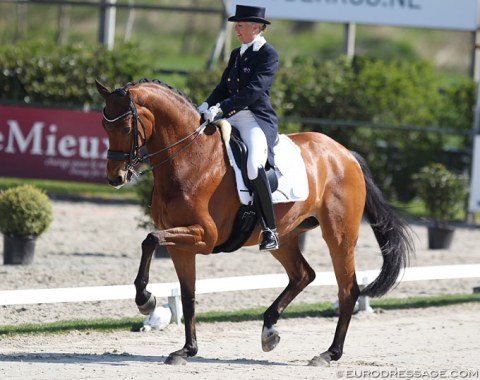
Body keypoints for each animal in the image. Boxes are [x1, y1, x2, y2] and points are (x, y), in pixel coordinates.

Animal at [94, 78, 412, 366]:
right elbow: (187, 294)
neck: (190, 159)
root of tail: (346, 154)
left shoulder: (203, 236)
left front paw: (145, 300)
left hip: (339, 234)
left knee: (347, 290)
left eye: (125, 128)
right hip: (283, 238)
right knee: (303, 275)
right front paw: (186, 350)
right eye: (104, 126)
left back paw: (328, 354)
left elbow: (149, 240)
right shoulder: (181, 244)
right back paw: (269, 330)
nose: (116, 178)